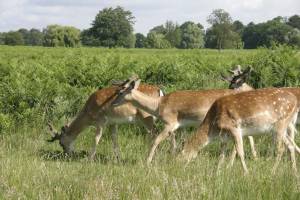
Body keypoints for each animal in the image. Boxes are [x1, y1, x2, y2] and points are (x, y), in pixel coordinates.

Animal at [112, 71, 258, 165]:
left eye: (120, 91)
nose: (112, 103)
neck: (158, 105)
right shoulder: (179, 126)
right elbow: (176, 143)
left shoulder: (170, 123)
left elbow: (156, 140)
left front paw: (147, 162)